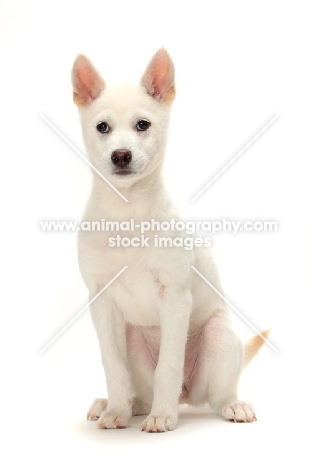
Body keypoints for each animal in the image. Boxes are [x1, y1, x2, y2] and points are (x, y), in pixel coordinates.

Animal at [72, 47, 266, 432]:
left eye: (142, 125)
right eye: (102, 127)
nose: (120, 155)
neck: (127, 210)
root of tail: (187, 396)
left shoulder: (175, 298)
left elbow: (169, 366)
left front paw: (163, 417)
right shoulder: (101, 301)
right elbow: (113, 366)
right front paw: (116, 410)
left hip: (219, 336)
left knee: (216, 395)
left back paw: (228, 405)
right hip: (132, 336)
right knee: (140, 394)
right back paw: (118, 405)